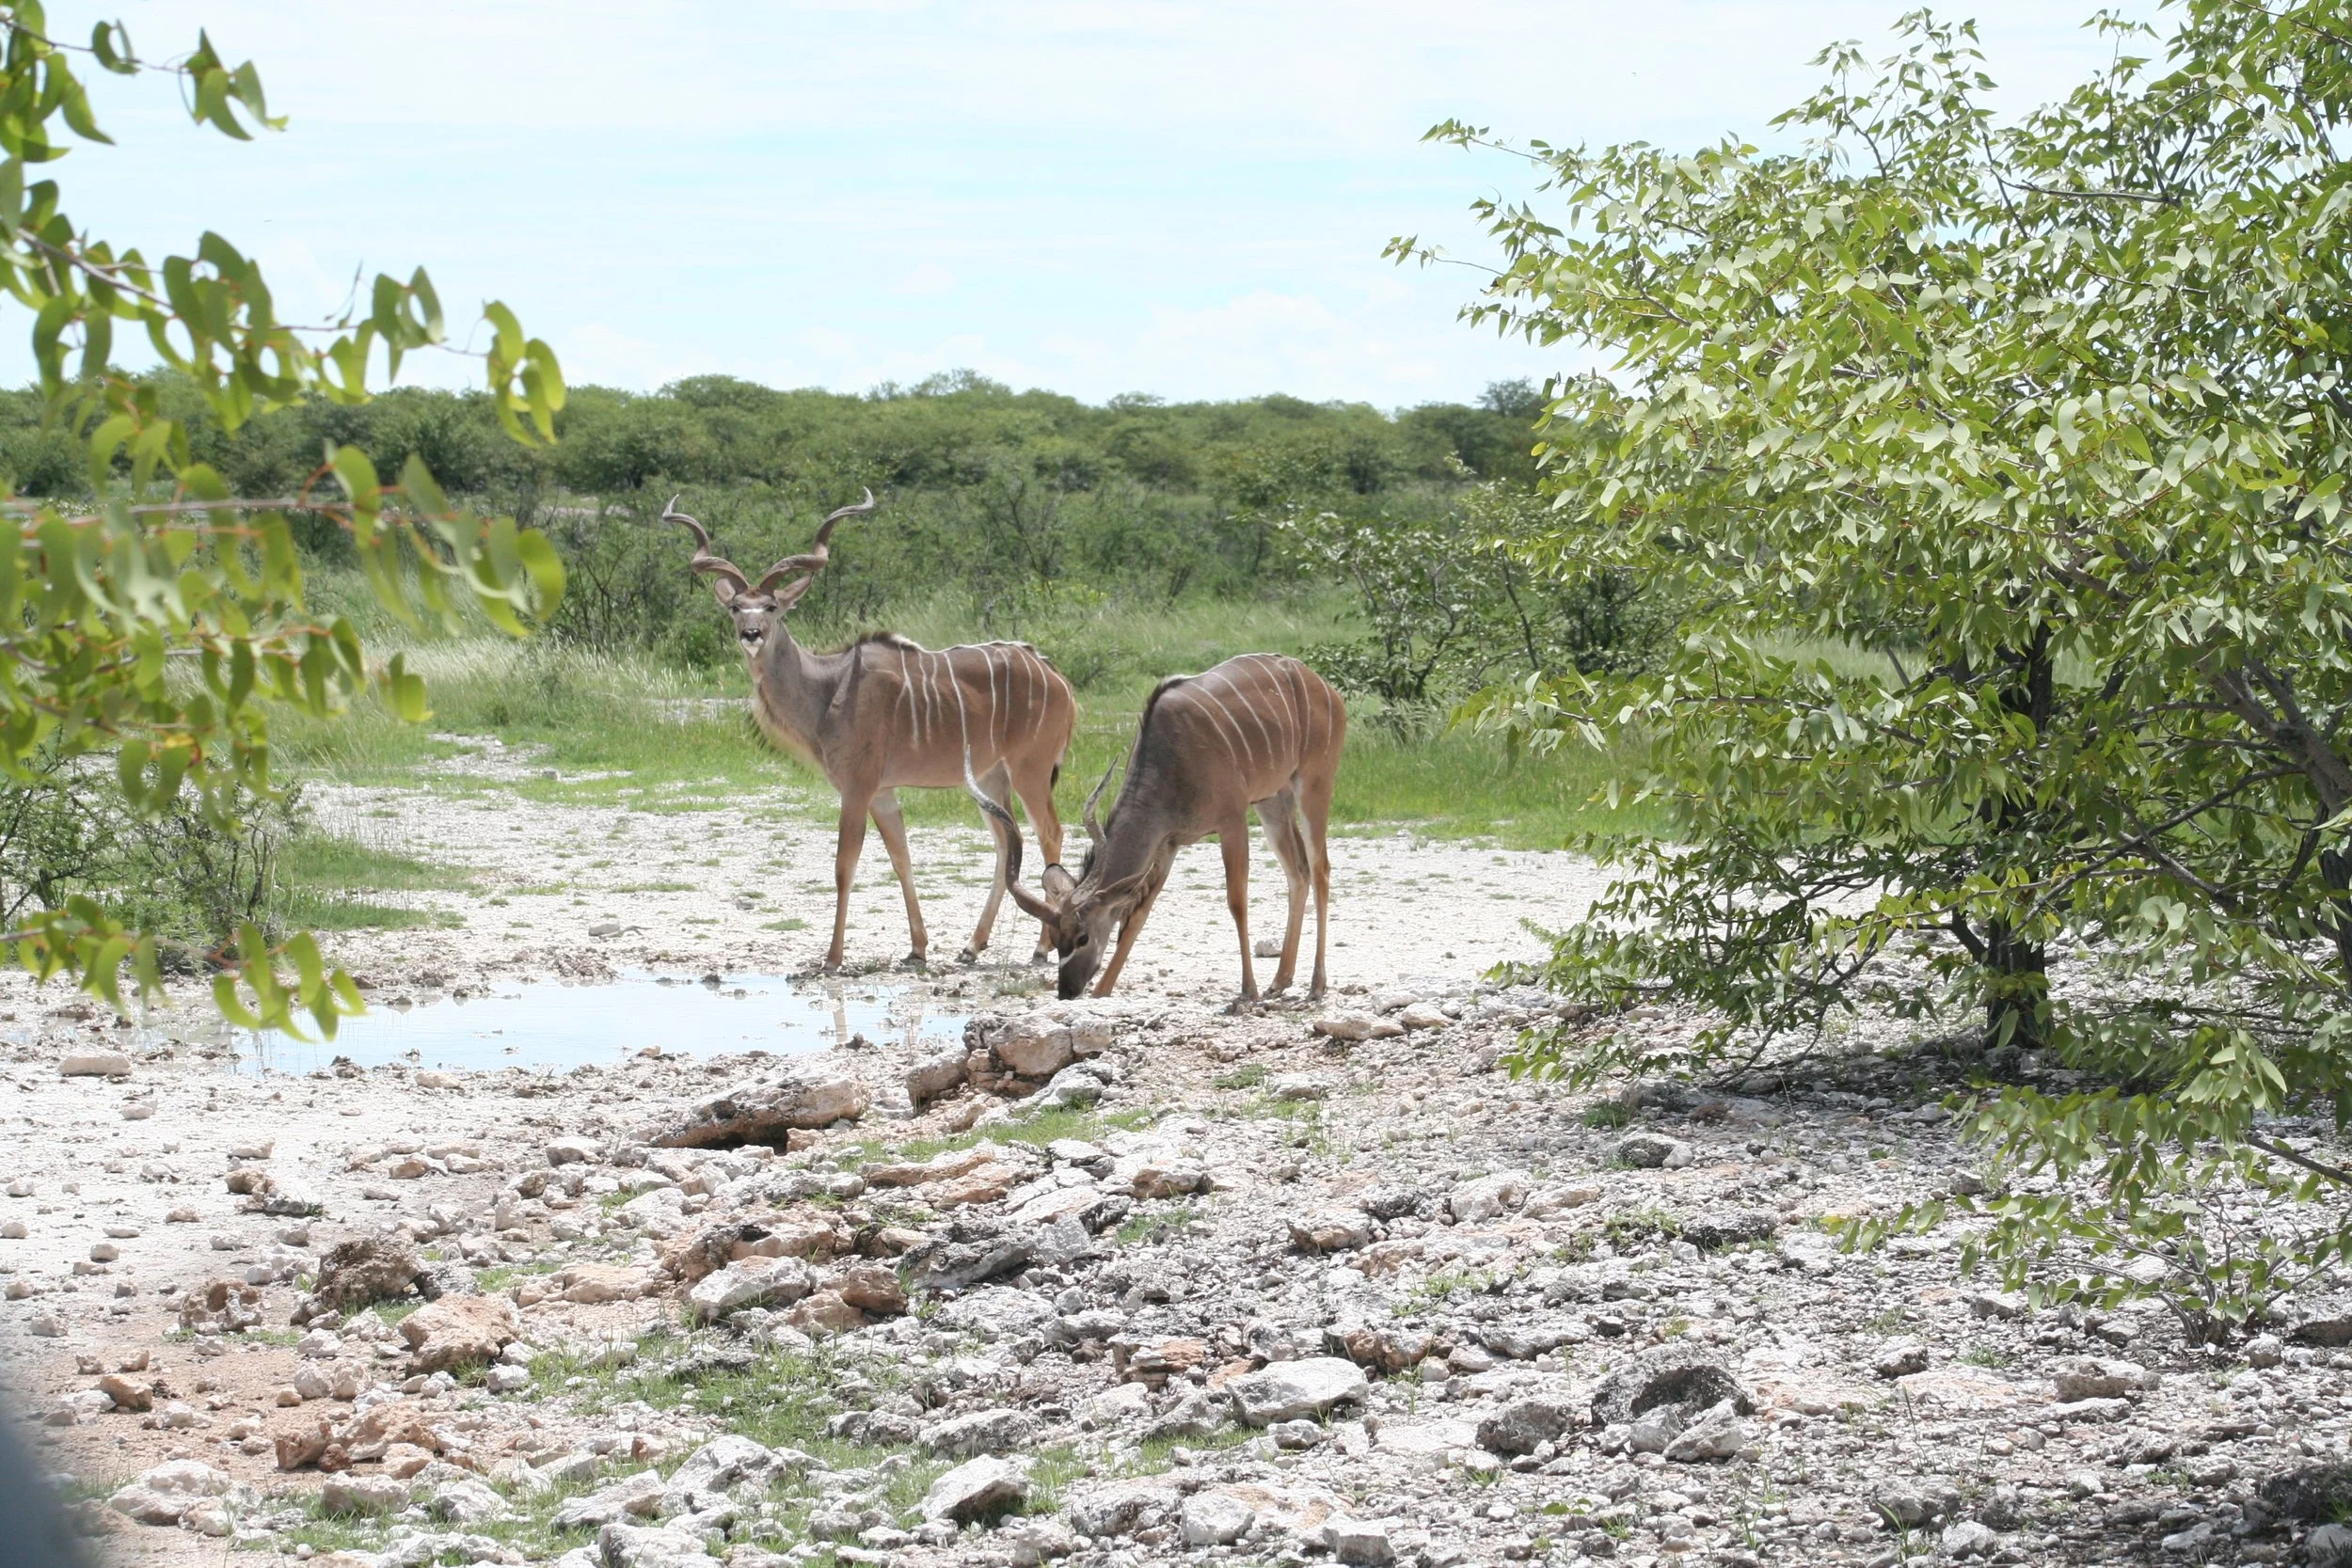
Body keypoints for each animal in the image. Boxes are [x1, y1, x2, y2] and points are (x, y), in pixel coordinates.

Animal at [663, 492, 1077, 971]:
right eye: (735, 607)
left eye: (771, 608)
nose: (750, 634)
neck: (829, 687)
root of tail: (1059, 678)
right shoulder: (883, 792)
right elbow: (902, 859)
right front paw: (917, 949)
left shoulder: (857, 787)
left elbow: (845, 865)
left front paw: (832, 958)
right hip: (991, 777)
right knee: (1006, 845)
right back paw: (971, 947)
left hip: (1030, 770)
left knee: (1050, 835)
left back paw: (1040, 948)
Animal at [974, 652, 1346, 1004]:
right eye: (1055, 939)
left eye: (1082, 937)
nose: (1068, 990)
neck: (1170, 759)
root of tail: (1325, 688)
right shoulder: (1168, 842)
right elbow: (1138, 914)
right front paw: (1102, 991)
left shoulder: (1232, 821)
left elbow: (1236, 901)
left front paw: (1247, 991)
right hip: (1272, 801)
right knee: (1298, 873)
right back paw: (1280, 981)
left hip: (1314, 784)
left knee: (1321, 869)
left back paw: (1316, 986)